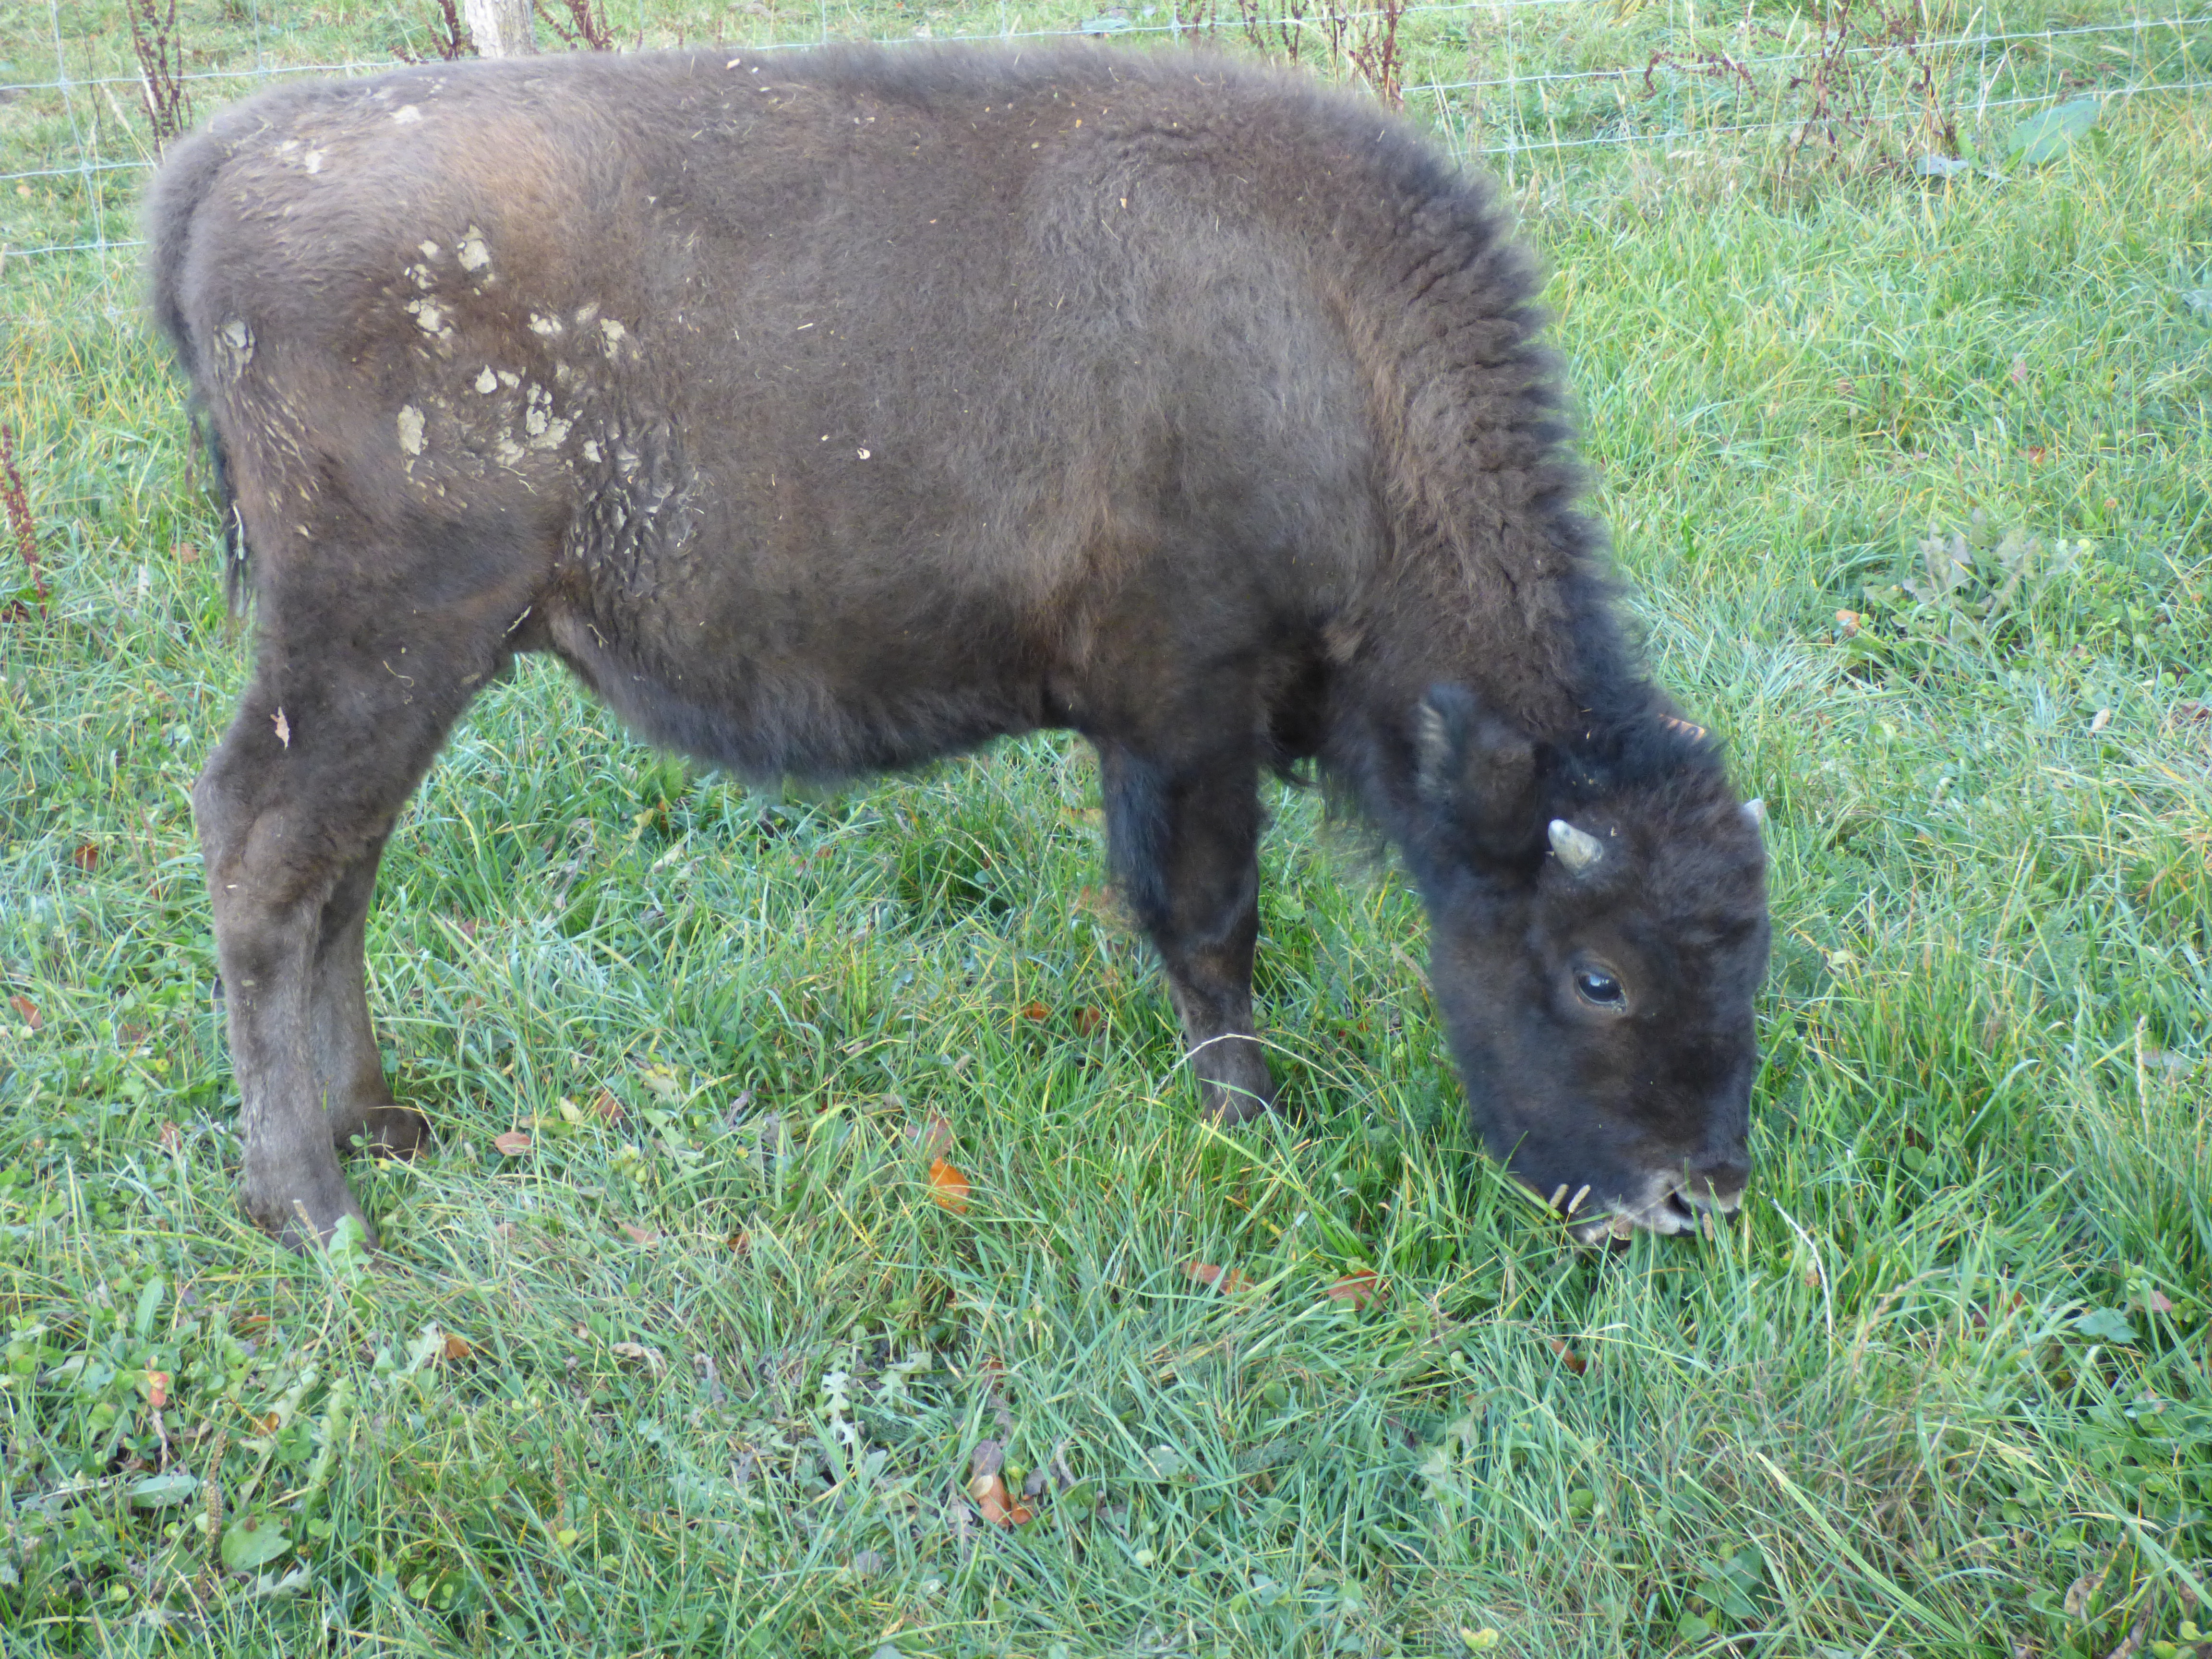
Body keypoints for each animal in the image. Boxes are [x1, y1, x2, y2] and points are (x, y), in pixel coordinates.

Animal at [147, 42, 1769, 1247]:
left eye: (1752, 955)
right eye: (1600, 975)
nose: (1691, 1199)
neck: (1332, 358)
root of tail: (237, 155)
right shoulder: (1185, 710)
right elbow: (1211, 925)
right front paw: (1250, 1130)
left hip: (418, 665)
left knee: (341, 870)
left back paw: (382, 1126)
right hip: (379, 643)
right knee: (265, 855)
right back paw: (314, 1208)